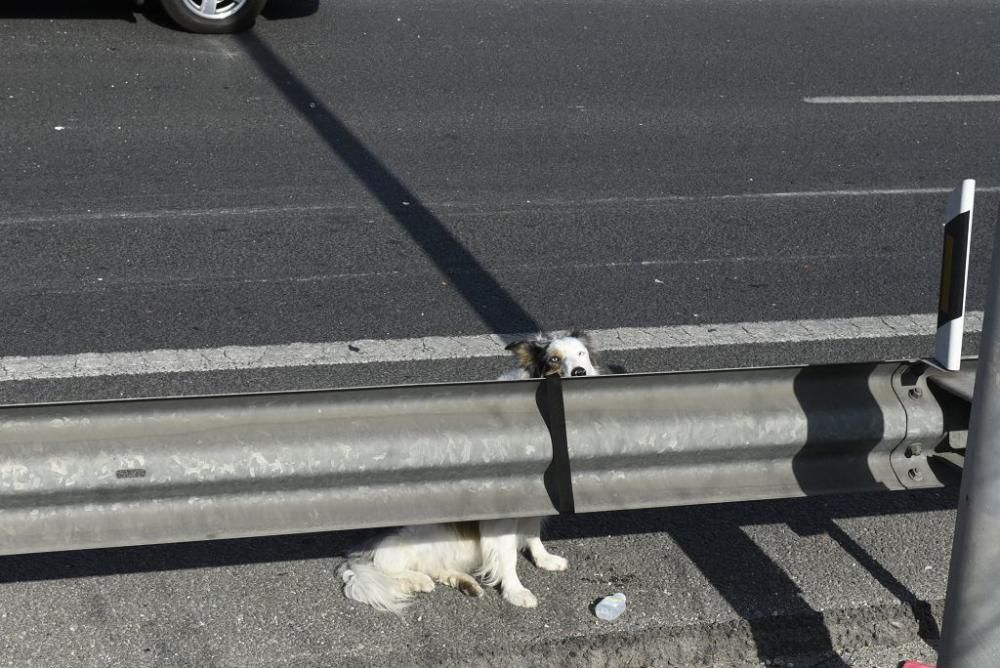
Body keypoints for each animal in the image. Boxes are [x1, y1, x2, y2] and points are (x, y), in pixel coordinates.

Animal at [340, 332, 596, 612]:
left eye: (581, 354)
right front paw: (516, 592)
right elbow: (508, 557)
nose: (580, 372)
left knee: (433, 567)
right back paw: (417, 580)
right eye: (554, 359)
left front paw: (545, 560)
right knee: (382, 567)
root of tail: (358, 550)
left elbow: (533, 534)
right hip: (418, 535)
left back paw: (465, 583)